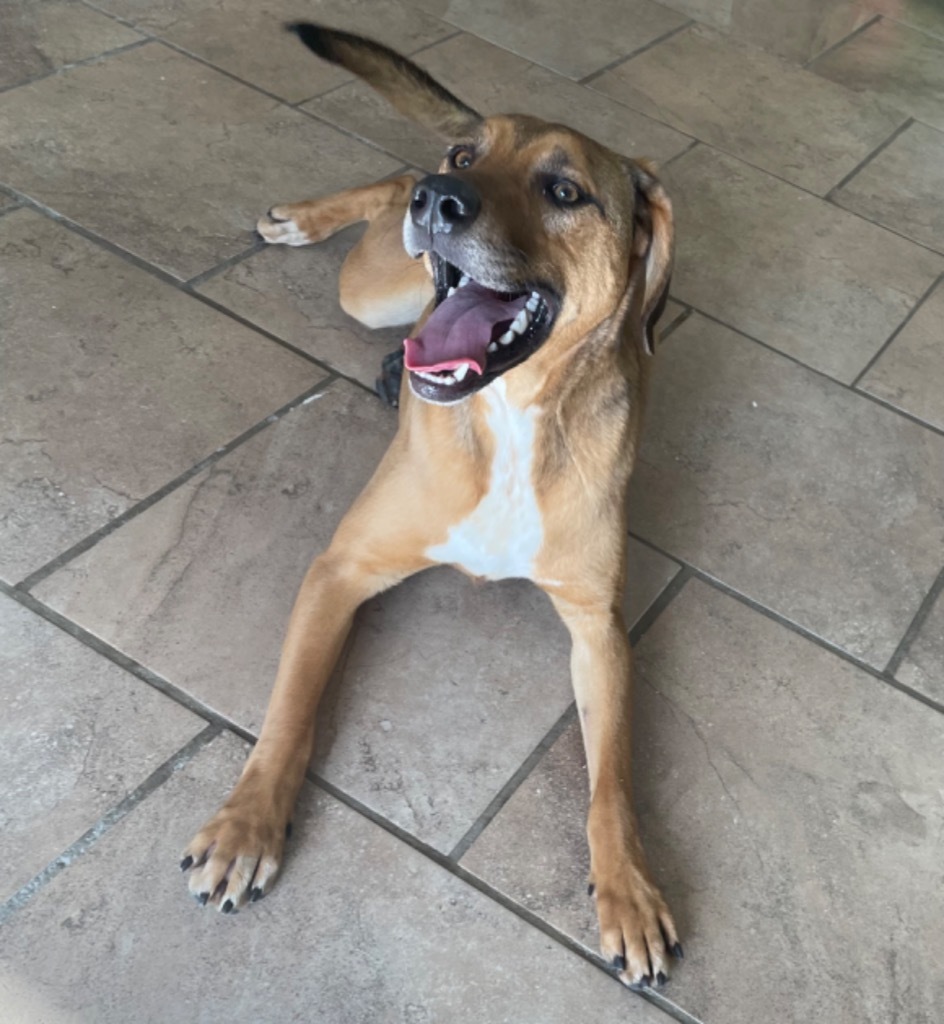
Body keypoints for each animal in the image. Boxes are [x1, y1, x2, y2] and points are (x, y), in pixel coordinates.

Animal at [178, 24, 675, 991]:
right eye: (469, 159)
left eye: (565, 190)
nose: (440, 196)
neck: (513, 416)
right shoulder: (341, 570)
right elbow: (289, 711)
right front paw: (248, 823)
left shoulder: (600, 630)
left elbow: (613, 781)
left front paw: (628, 888)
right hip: (375, 287)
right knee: (381, 197)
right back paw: (323, 214)